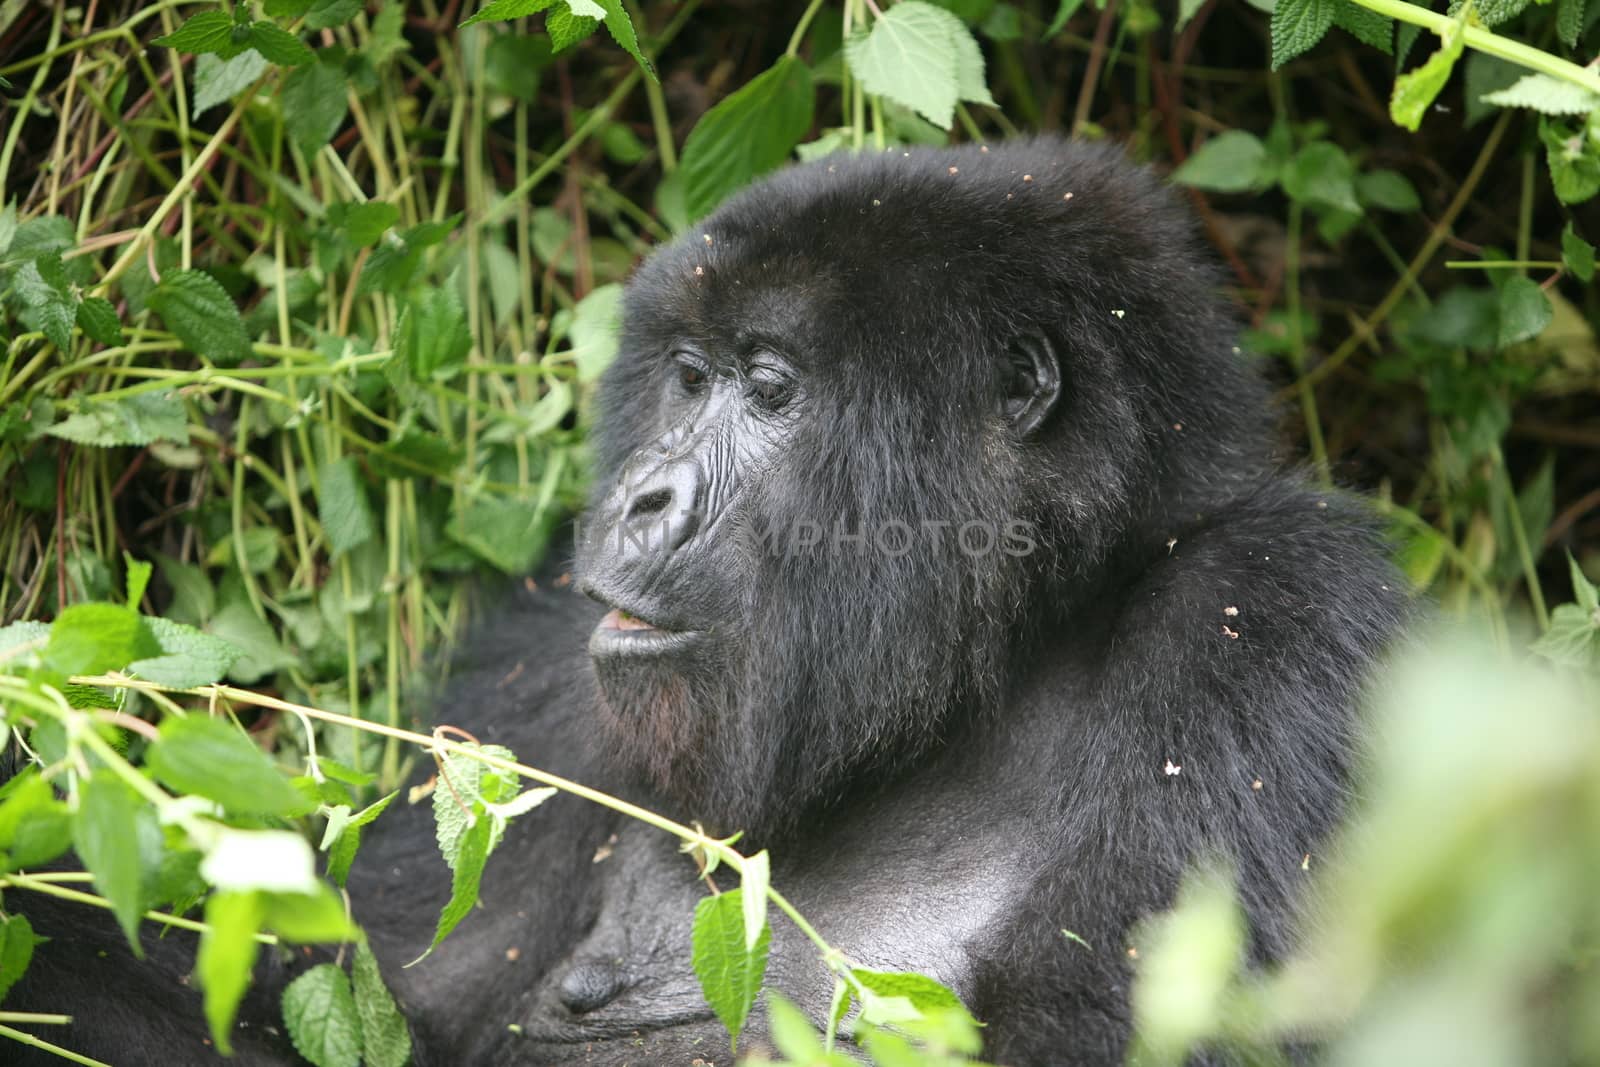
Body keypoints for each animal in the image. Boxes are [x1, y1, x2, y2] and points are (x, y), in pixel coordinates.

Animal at [18, 137, 1408, 1062]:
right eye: (688, 376)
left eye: (770, 387)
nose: (638, 495)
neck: (997, 660)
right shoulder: (549, 671)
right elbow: (317, 977)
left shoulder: (1276, 618)